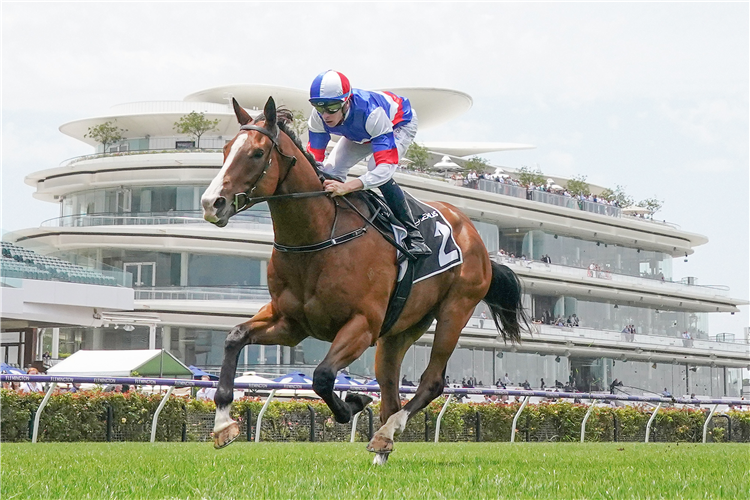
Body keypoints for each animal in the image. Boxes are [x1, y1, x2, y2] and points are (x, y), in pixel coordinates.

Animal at [201, 95, 528, 462]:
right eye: (226, 149)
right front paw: (223, 424)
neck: (317, 238)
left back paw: (385, 432)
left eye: (257, 153)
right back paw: (382, 447)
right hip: (398, 332)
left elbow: (323, 376)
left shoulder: (363, 324)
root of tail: (474, 234)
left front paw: (354, 401)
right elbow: (234, 337)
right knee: (390, 391)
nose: (212, 203)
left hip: (455, 311)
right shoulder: (291, 323)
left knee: (431, 382)